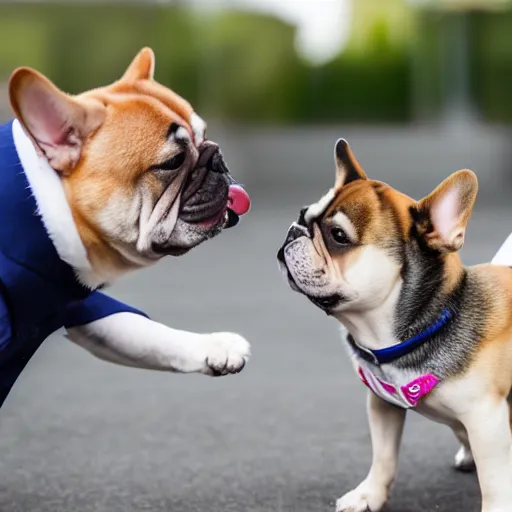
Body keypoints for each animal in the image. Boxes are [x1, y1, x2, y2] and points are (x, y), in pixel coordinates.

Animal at [9, 48, 251, 376]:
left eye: (203, 135)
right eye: (173, 162)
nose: (216, 157)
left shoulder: (83, 308)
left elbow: (146, 334)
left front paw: (215, 346)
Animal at [278, 140, 512, 512]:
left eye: (338, 236)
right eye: (304, 216)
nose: (293, 231)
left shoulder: (486, 420)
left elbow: (494, 482)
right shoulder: (382, 404)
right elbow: (383, 455)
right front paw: (368, 495)